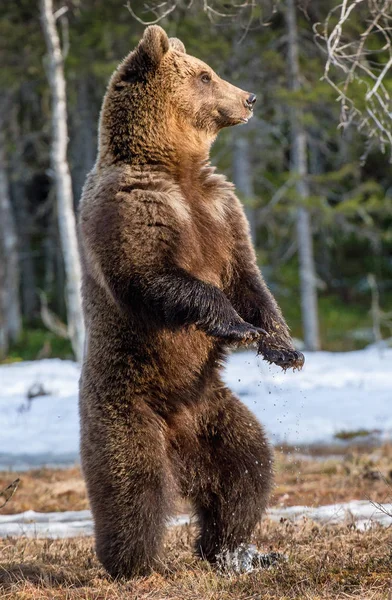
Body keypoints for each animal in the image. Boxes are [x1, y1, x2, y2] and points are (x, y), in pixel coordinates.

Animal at [78, 25, 304, 580]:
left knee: (247, 470)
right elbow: (155, 277)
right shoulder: (134, 208)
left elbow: (250, 279)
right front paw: (237, 326)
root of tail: (178, 443)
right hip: (126, 408)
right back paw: (133, 565)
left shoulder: (221, 210)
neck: (175, 166)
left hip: (211, 411)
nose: (248, 97)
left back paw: (234, 550)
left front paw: (282, 348)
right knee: (132, 488)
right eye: (205, 74)